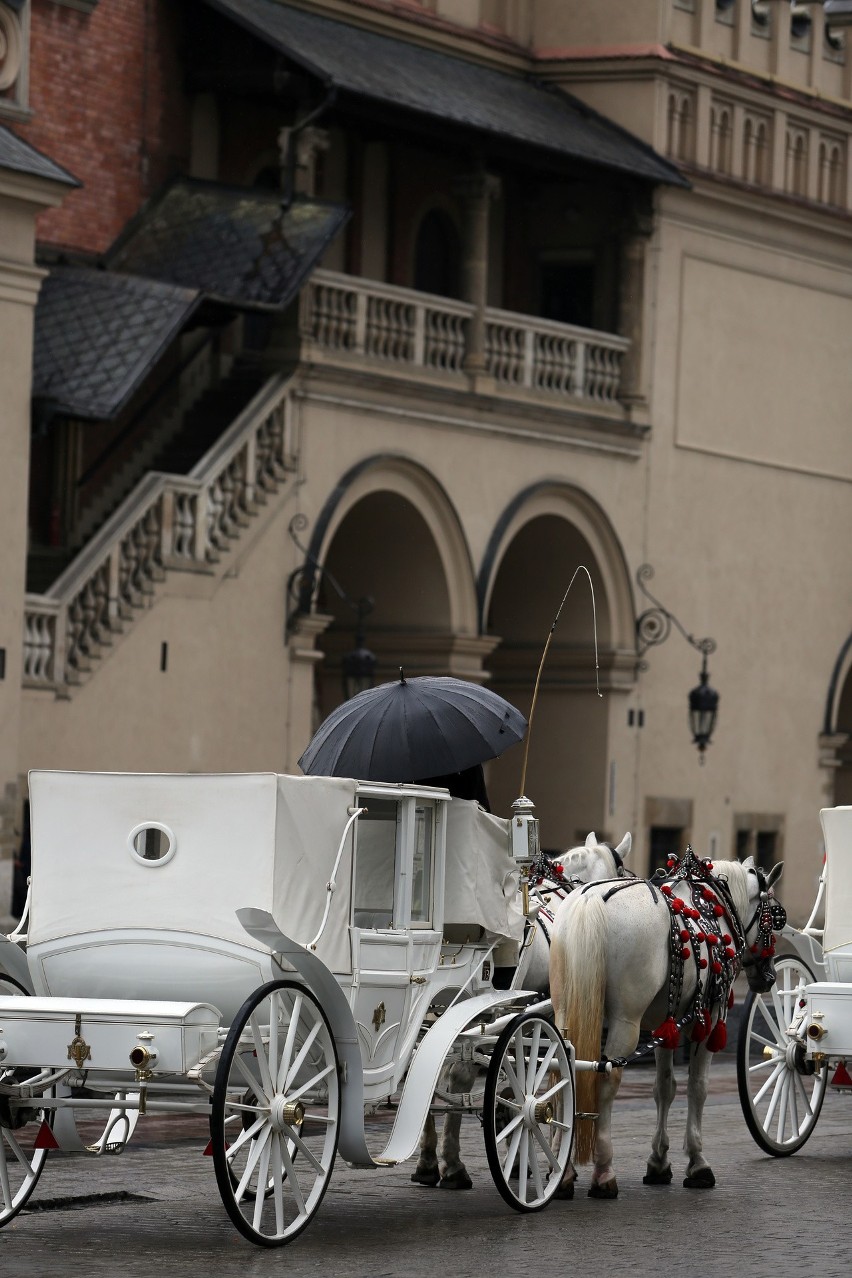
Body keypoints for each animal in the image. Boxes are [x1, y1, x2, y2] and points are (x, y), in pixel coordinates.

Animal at [549, 858, 781, 1196]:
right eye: (775, 919)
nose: (769, 977)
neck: (714, 909)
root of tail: (590, 900)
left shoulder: (663, 1026)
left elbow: (664, 1087)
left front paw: (658, 1162)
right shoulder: (707, 1021)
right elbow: (697, 1087)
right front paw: (697, 1162)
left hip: (565, 1010)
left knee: (562, 1074)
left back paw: (563, 1171)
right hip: (625, 1021)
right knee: (607, 1077)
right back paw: (604, 1172)